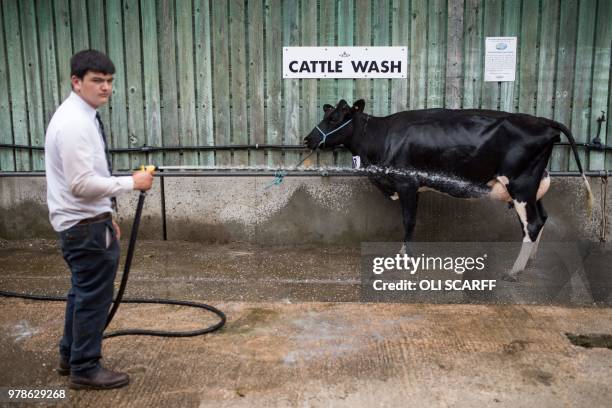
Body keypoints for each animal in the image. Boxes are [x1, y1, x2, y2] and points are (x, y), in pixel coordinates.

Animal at [304, 100, 592, 278]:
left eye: (334, 117)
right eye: (326, 114)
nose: (307, 139)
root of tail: (544, 122)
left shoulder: (407, 183)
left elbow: (408, 221)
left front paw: (405, 257)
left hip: (521, 184)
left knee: (531, 224)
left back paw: (514, 271)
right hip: (533, 186)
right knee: (540, 219)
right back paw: (529, 261)